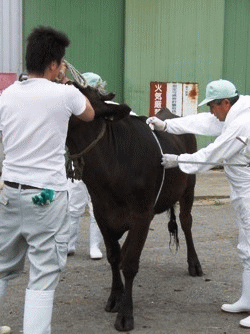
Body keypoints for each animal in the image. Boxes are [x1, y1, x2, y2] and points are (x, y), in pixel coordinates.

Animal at [65, 83, 202, 332]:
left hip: (189, 186)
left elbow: (129, 264)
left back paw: (194, 264)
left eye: (76, 91)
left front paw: (125, 315)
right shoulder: (102, 212)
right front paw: (115, 297)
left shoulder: (141, 215)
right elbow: (114, 256)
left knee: (186, 222)